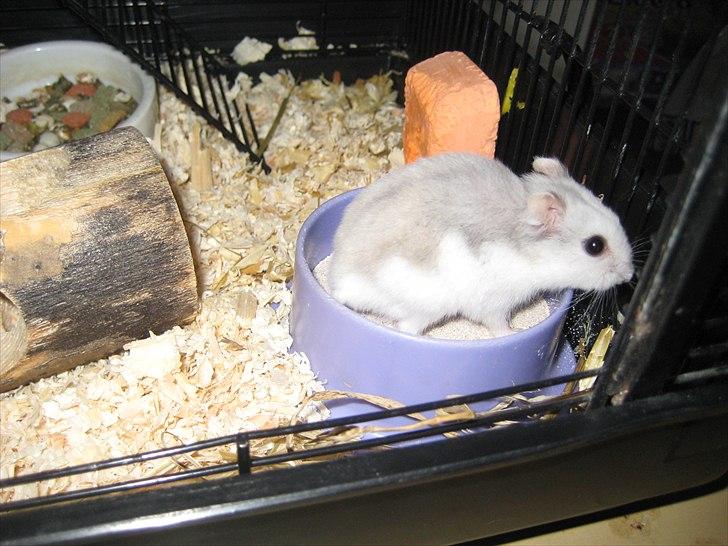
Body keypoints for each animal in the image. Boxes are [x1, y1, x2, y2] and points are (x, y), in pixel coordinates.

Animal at [328, 152, 634, 336]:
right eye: (594, 246)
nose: (630, 275)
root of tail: (338, 281)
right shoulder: (495, 304)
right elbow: (498, 324)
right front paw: (513, 334)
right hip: (427, 306)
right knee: (405, 327)